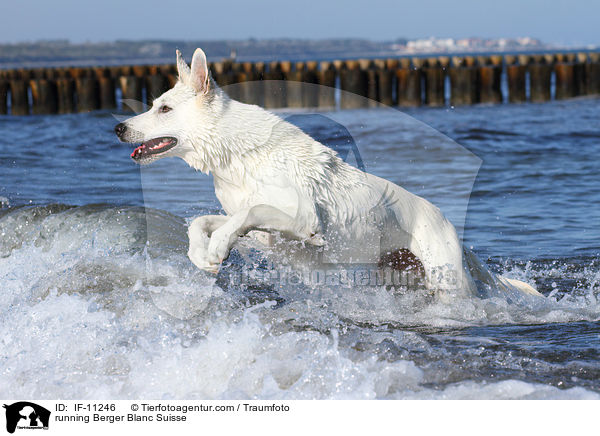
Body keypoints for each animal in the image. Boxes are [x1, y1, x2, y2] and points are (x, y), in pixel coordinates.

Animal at [115, 49, 540, 298]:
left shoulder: (301, 219)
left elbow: (247, 212)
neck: (238, 153)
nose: (118, 128)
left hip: (446, 278)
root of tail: (451, 226)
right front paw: (201, 254)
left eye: (164, 109)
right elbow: (207, 221)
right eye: (154, 104)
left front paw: (217, 248)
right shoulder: (263, 235)